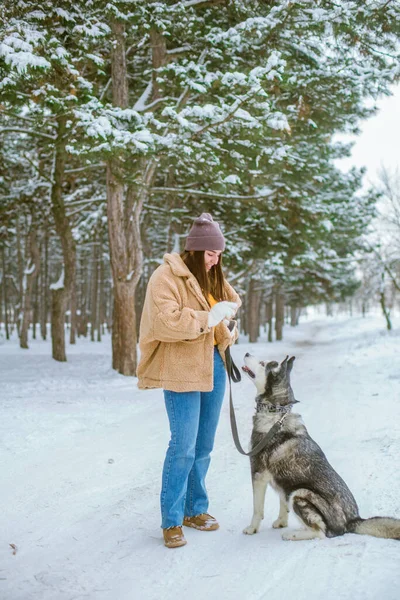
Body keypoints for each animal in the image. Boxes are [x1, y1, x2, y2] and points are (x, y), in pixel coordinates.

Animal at [241, 354, 400, 540]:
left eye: (262, 363)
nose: (247, 353)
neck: (276, 413)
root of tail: (353, 521)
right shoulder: (283, 483)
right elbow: (282, 504)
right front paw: (281, 522)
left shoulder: (258, 474)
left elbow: (257, 509)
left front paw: (252, 528)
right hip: (293, 492)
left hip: (299, 493)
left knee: (320, 532)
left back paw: (292, 535)